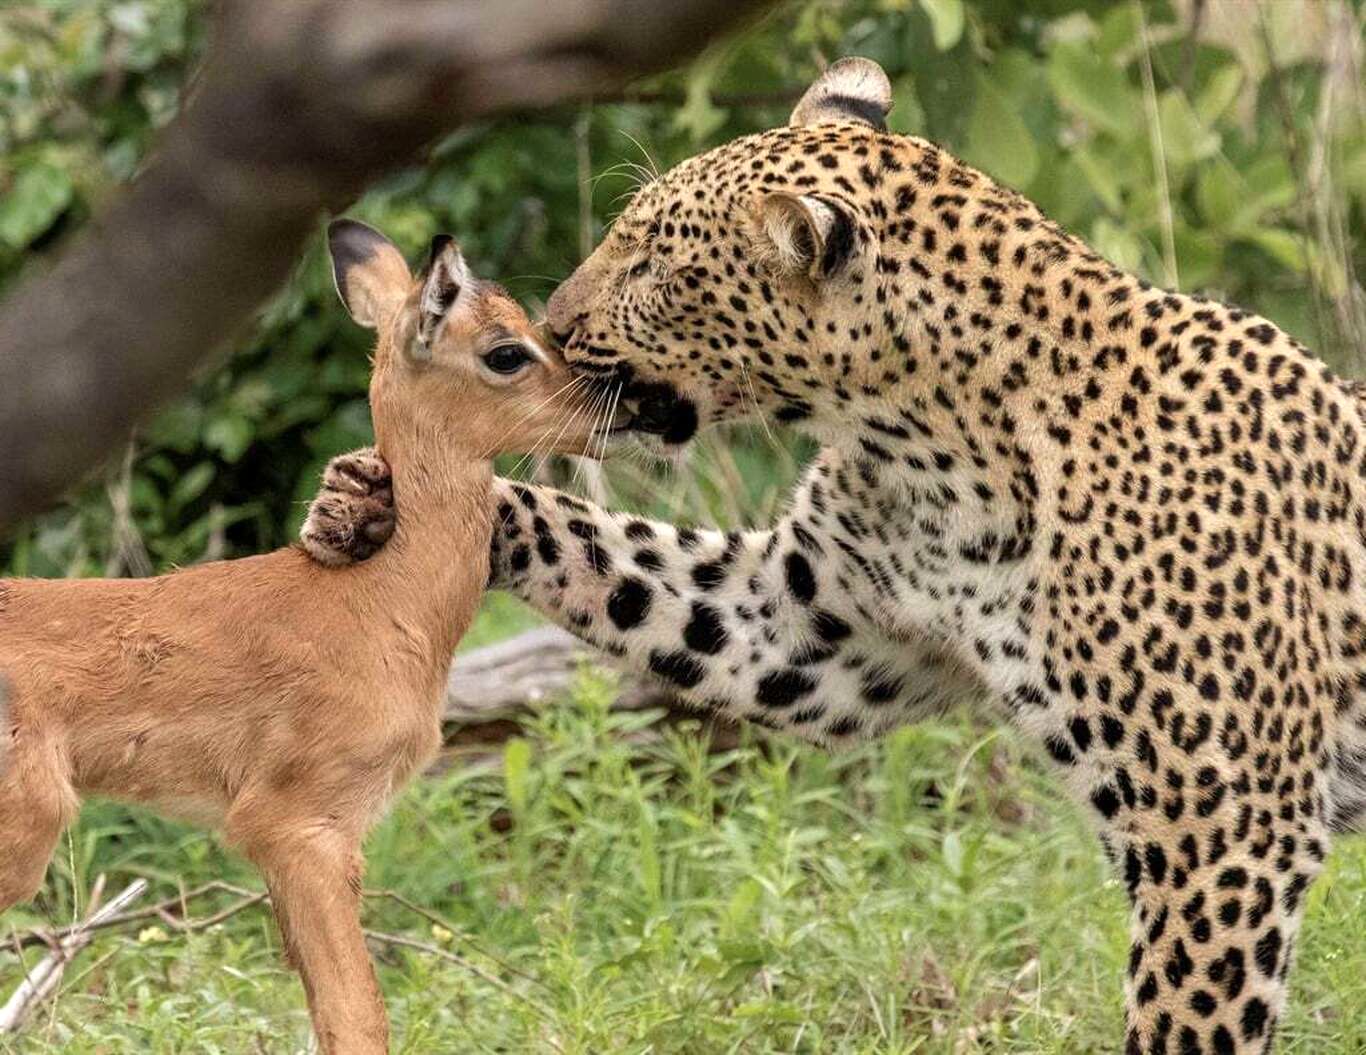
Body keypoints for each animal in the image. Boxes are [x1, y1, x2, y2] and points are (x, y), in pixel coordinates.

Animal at [301, 59, 1366, 1055]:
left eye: (650, 265)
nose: (556, 329)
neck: (936, 453)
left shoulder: (1219, 831)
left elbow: (1185, 1017)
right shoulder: (808, 624)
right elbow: (622, 562)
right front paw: (367, 502)